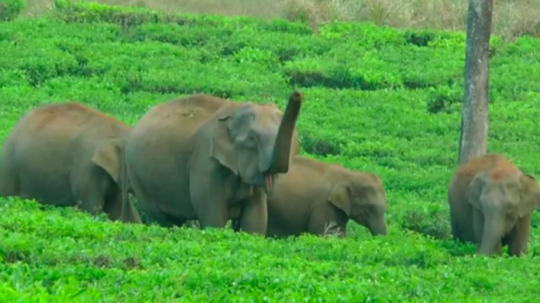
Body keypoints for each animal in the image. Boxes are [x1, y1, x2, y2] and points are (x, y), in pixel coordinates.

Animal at [124, 91, 304, 235]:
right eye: (252, 138)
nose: (297, 94)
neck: (234, 112)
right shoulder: (206, 163)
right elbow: (213, 217)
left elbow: (256, 217)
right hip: (137, 177)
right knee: (161, 219)